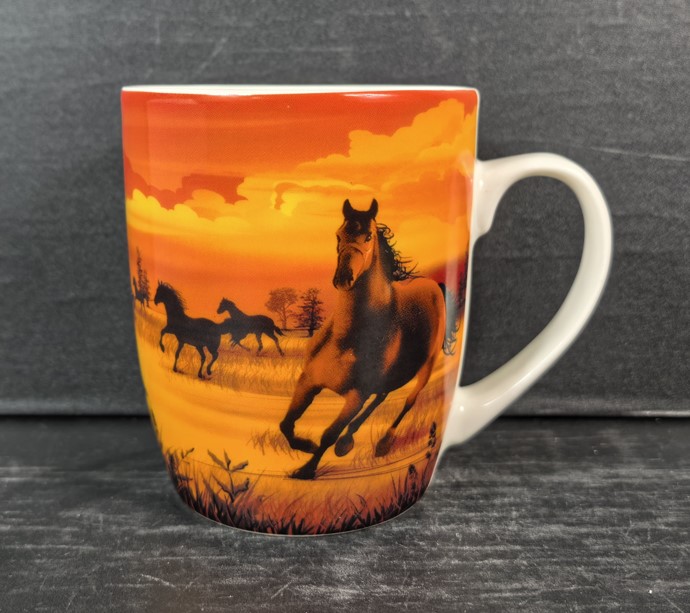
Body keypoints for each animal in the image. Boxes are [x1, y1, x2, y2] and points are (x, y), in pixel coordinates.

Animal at [280, 199, 451, 480]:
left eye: (368, 236)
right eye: (338, 235)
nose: (343, 278)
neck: (345, 339)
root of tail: (435, 287)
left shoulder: (356, 396)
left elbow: (329, 434)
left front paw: (306, 469)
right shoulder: (309, 381)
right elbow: (286, 424)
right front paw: (306, 446)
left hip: (426, 367)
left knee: (409, 400)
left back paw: (382, 444)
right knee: (381, 395)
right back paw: (349, 440)